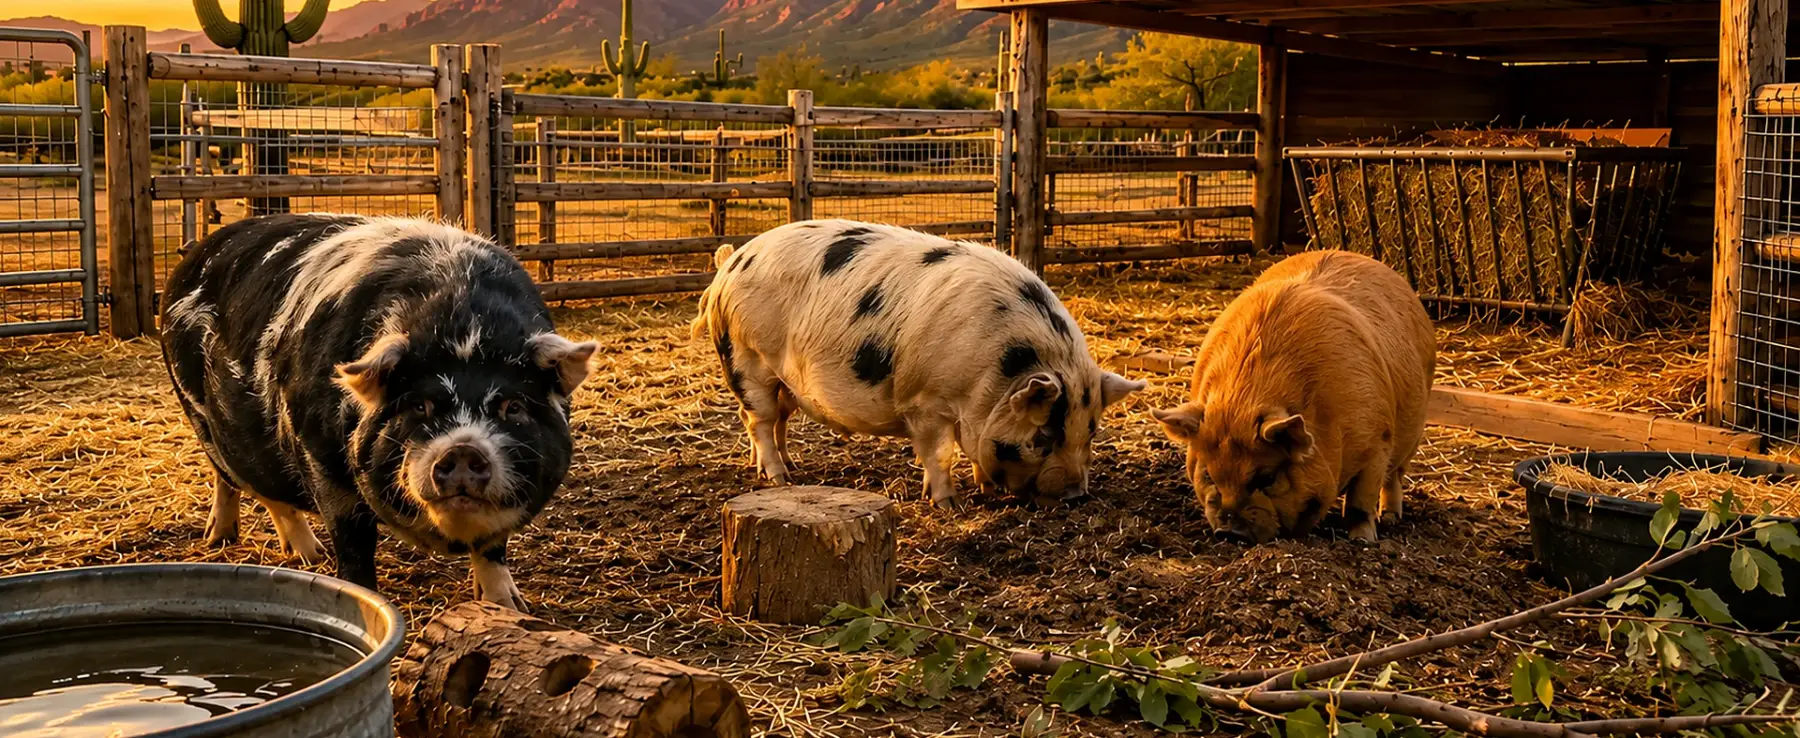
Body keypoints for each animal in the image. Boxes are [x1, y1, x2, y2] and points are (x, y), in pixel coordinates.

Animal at [159, 214, 596, 609]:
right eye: (419, 405)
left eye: (513, 406)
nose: (462, 450)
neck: (462, 328)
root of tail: (197, 251)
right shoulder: (320, 460)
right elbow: (353, 546)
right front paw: (361, 597)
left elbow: (493, 549)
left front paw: (511, 607)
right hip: (204, 418)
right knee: (247, 484)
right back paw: (279, 548)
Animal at [692, 219, 1145, 507]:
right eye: (1044, 436)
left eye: (1091, 432)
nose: (1077, 495)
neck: (992, 379)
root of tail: (731, 261)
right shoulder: (924, 401)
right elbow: (939, 454)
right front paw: (949, 505)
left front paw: (984, 490)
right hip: (748, 359)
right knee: (759, 420)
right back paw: (780, 478)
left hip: (782, 380)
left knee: (776, 420)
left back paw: (788, 468)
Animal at [1151, 250, 1434, 543]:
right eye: (1208, 474)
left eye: (1267, 478)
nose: (1229, 532)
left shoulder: (1378, 440)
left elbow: (1360, 501)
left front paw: (1362, 540)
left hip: (1413, 431)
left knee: (1393, 478)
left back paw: (1389, 519)